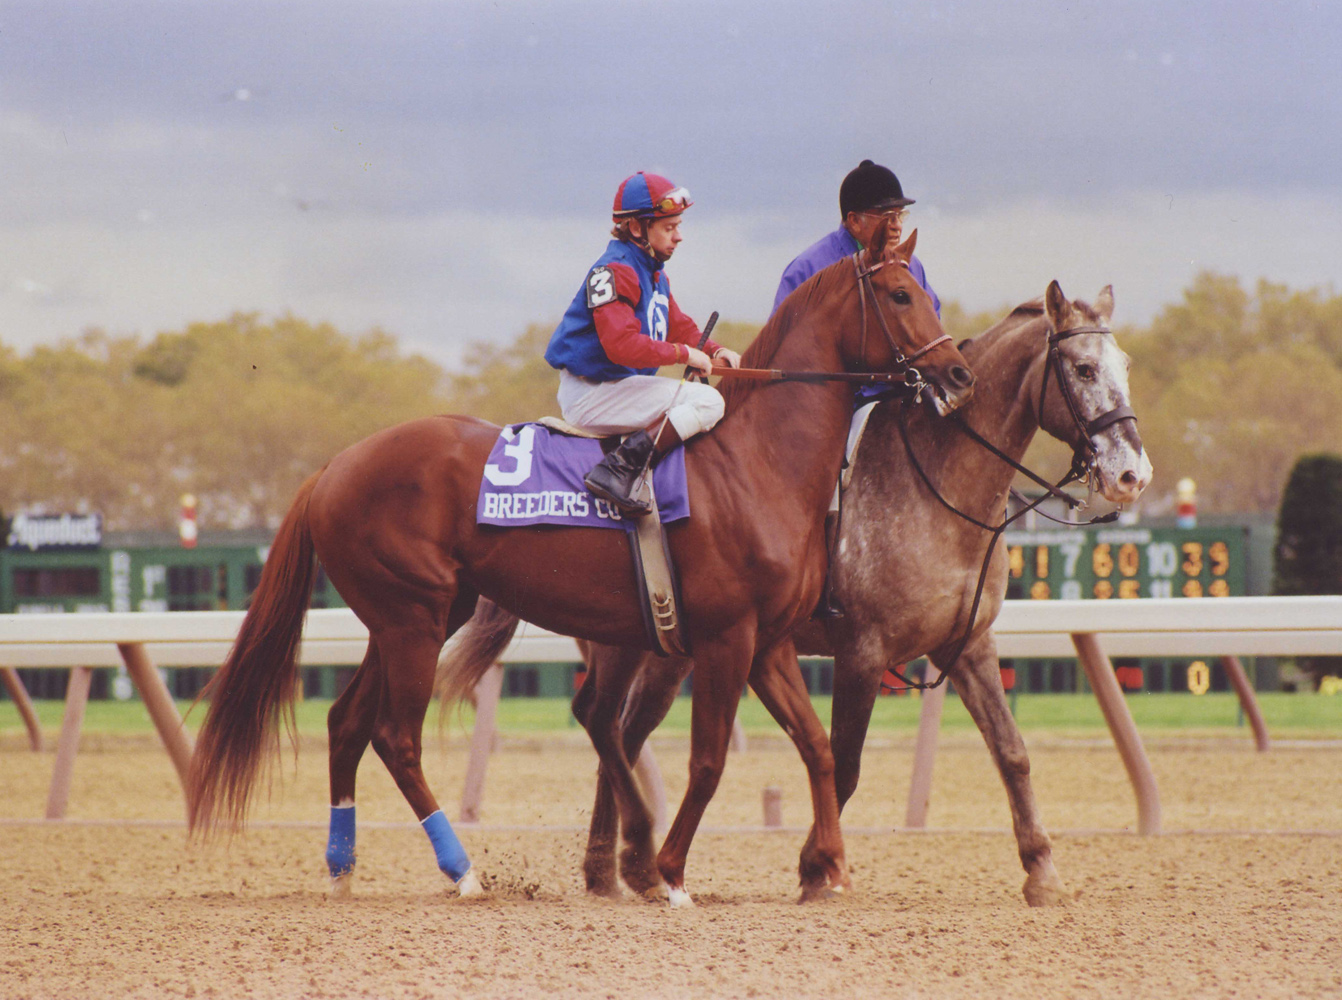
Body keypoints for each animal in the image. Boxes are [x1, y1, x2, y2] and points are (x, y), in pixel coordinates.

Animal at [186, 224, 976, 907]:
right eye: (900, 295)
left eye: (924, 291)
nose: (959, 373)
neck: (758, 462)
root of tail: (333, 466)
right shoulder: (727, 639)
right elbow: (710, 760)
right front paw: (672, 872)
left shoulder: (769, 644)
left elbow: (818, 750)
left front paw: (829, 866)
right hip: (412, 620)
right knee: (397, 737)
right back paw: (464, 871)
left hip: (417, 616)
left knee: (348, 723)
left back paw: (342, 866)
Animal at [571, 279, 1148, 907]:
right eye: (1084, 368)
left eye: (1125, 364)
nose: (1132, 474)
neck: (937, 491)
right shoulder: (862, 652)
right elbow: (843, 763)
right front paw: (816, 868)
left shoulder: (967, 646)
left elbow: (1012, 752)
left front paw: (1042, 869)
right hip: (655, 648)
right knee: (617, 730)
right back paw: (621, 863)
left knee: (621, 734)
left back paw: (610, 869)